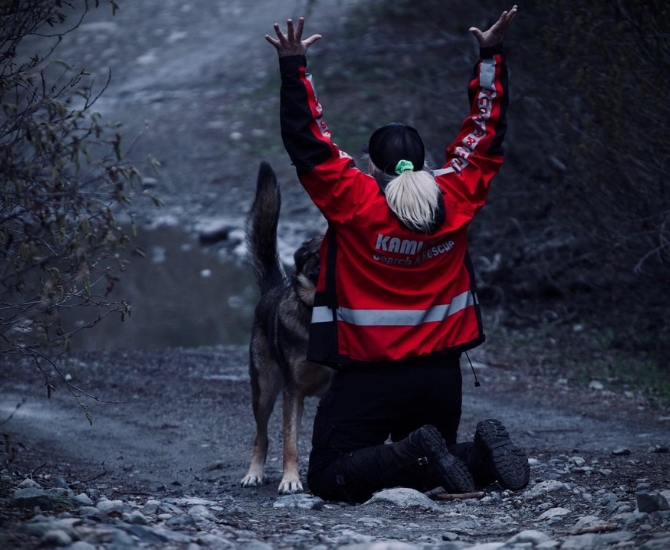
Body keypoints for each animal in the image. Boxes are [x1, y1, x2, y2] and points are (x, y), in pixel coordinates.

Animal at [243, 162, 334, 498]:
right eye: (319, 254)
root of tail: (273, 287)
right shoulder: (292, 391)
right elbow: (290, 442)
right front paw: (291, 479)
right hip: (265, 389)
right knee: (262, 436)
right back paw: (254, 473)